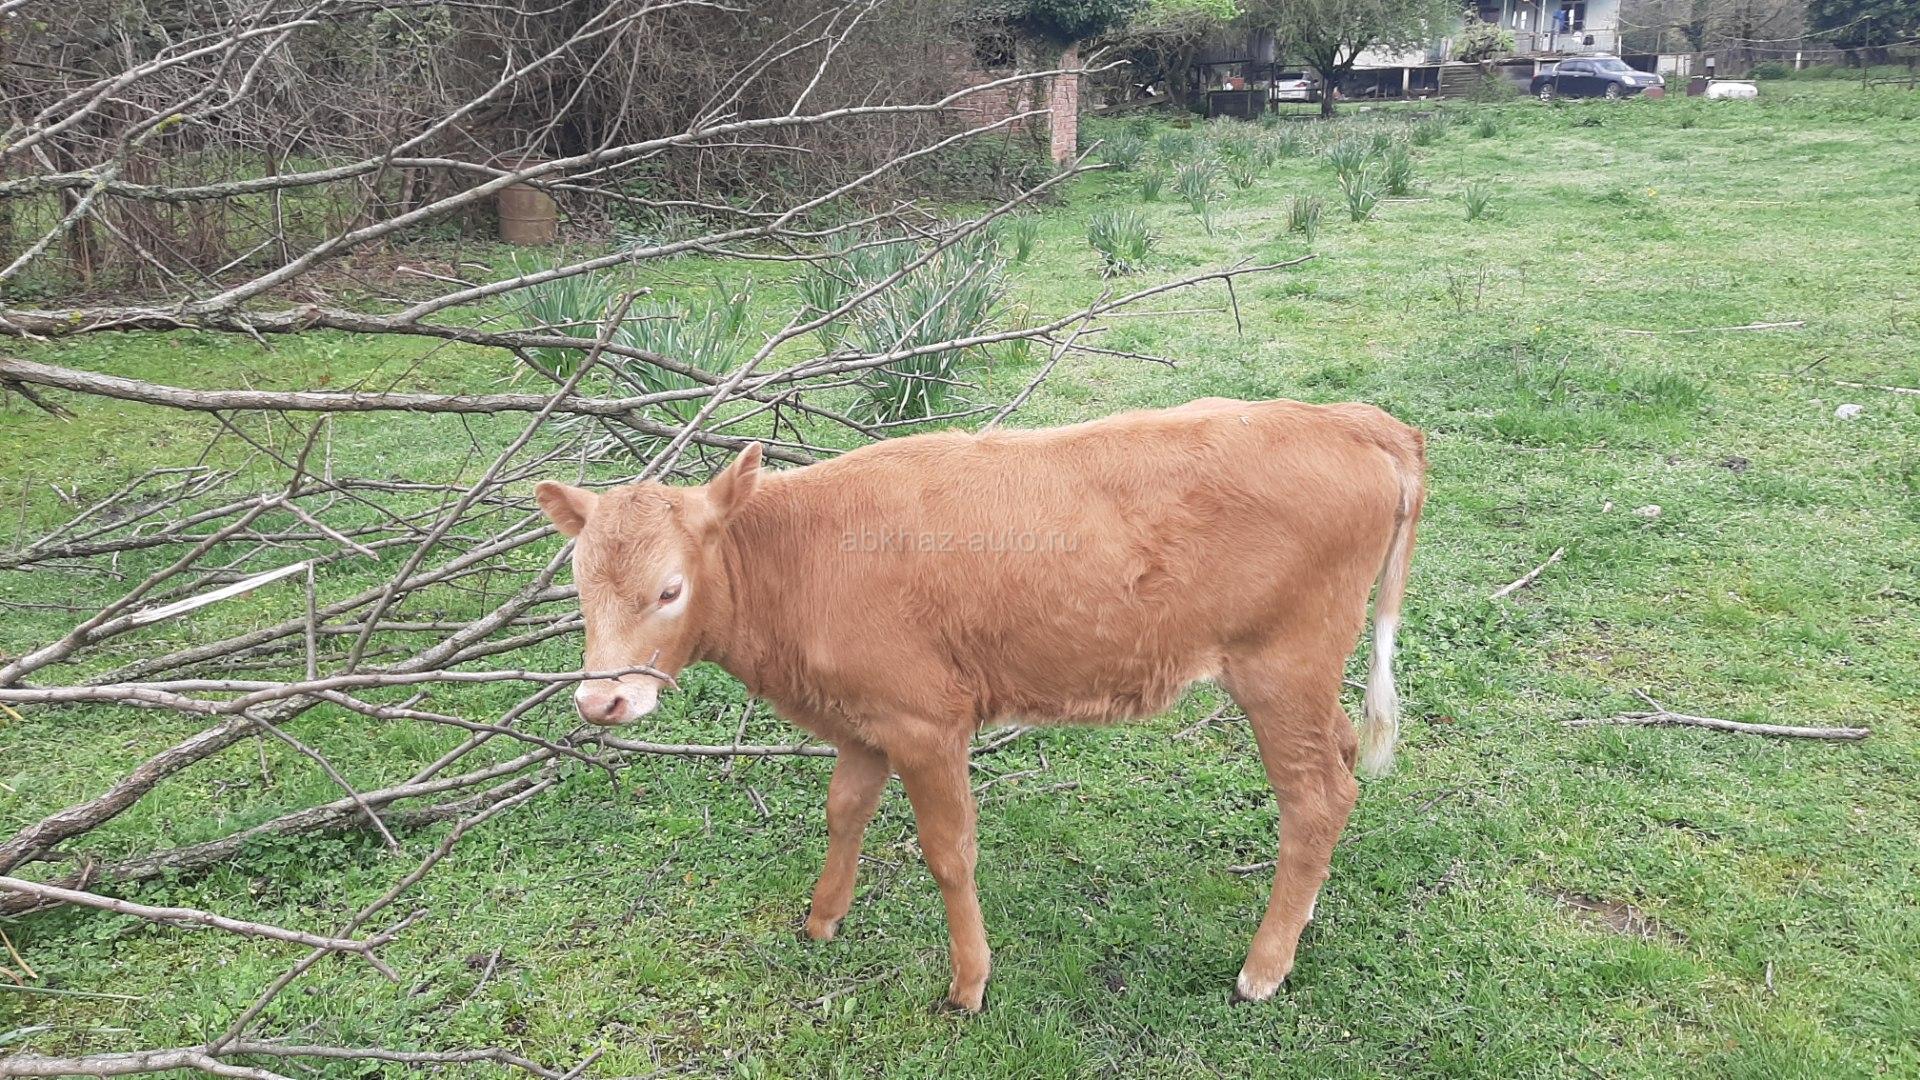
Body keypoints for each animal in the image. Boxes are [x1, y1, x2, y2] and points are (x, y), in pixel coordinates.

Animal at [535, 396, 1426, 1012]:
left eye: (670, 589)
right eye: (576, 583)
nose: (600, 701)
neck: (804, 555)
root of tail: (1349, 420)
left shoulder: (926, 722)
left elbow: (947, 852)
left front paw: (969, 983)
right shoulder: (864, 722)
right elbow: (844, 811)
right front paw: (823, 921)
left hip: (1281, 667)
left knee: (1317, 798)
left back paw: (1262, 968)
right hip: (1304, 678)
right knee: (1343, 756)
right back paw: (1303, 919)